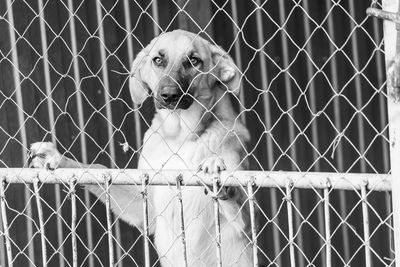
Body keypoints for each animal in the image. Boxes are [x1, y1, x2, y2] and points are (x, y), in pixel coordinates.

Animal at [28, 30, 253, 266]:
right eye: (158, 60)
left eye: (194, 61)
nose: (169, 95)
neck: (180, 137)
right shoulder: (146, 208)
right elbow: (96, 168)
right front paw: (56, 157)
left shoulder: (246, 225)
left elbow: (238, 199)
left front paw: (216, 170)